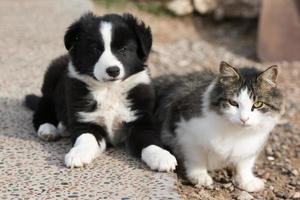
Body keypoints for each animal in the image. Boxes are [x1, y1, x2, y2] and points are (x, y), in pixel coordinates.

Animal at [25, 12, 178, 171]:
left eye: (123, 49)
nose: (113, 70)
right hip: (51, 81)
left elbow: (150, 140)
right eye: (96, 49)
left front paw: (162, 156)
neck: (109, 90)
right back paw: (48, 129)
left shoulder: (140, 120)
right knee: (43, 108)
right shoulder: (86, 121)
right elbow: (85, 138)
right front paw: (77, 154)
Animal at [155, 61, 284, 192]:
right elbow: (196, 157)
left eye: (258, 104)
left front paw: (246, 181)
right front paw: (200, 176)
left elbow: (244, 164)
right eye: (233, 103)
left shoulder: (252, 144)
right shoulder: (185, 130)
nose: (244, 119)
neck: (236, 132)